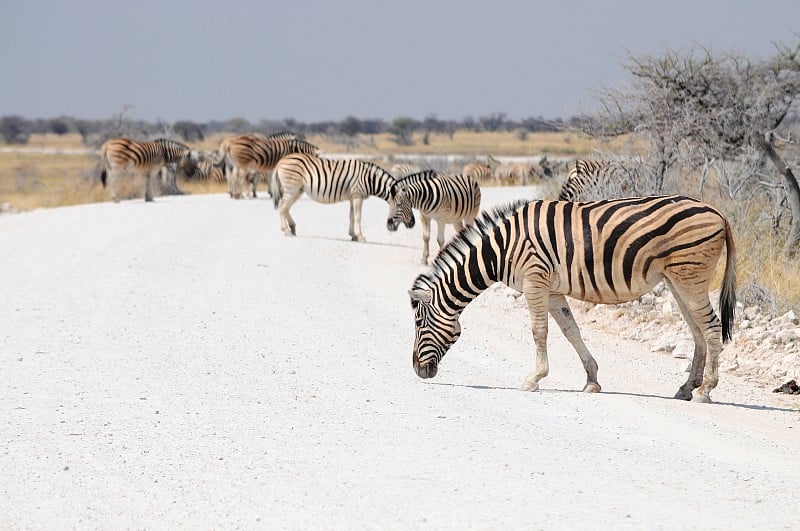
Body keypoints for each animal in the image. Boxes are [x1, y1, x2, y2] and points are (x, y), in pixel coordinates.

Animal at [274, 154, 416, 243]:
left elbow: (352, 216)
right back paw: (286, 231)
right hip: (292, 188)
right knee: (282, 207)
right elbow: (358, 216)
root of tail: (282, 160)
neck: (370, 179)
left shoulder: (353, 197)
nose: (413, 223)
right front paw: (361, 237)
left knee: (286, 208)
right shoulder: (358, 195)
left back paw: (292, 228)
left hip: (298, 190)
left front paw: (353, 235)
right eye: (402, 205)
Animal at [410, 195, 736, 404]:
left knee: (711, 328)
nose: (418, 371)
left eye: (419, 324)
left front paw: (534, 379)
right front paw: (592, 381)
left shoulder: (535, 280)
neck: (500, 250)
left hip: (690, 275)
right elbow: (571, 331)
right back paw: (686, 388)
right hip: (677, 279)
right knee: (697, 330)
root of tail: (718, 212)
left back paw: (706, 391)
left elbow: (539, 331)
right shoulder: (552, 289)